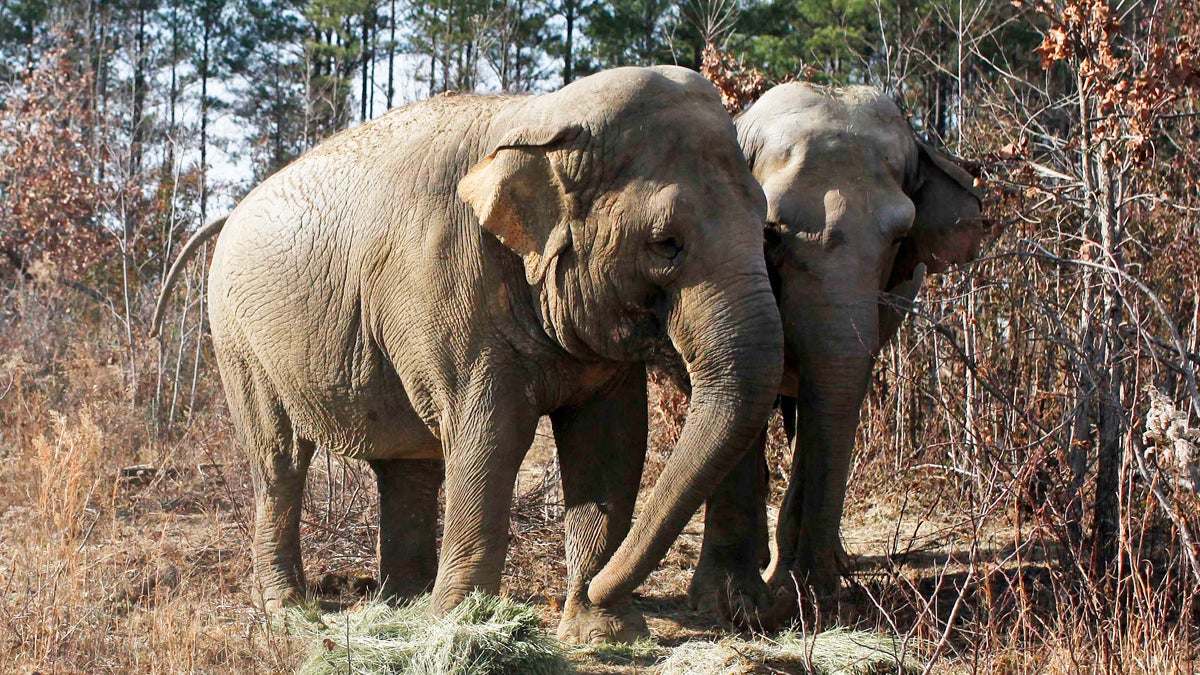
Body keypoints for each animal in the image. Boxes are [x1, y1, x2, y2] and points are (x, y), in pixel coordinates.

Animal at [151, 65, 783, 644]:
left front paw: (602, 633)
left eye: (767, 229)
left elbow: (611, 441)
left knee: (408, 462)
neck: (542, 115)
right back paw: (291, 612)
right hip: (237, 340)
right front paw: (463, 626)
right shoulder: (443, 279)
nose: (603, 591)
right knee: (279, 460)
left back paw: (402, 605)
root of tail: (232, 210)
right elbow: (492, 432)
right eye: (664, 244)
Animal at [684, 82, 985, 621]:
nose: (819, 597)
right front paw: (730, 605)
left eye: (900, 237)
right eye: (770, 232)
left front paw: (797, 589)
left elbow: (831, 401)